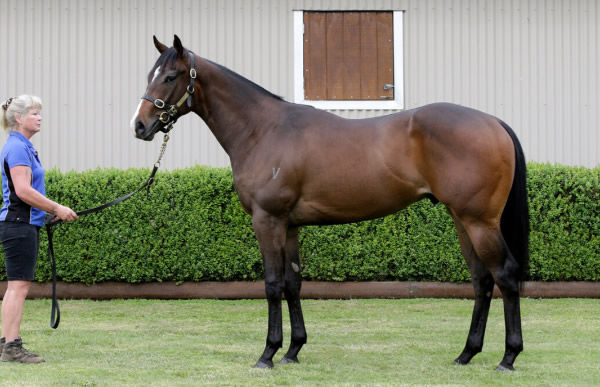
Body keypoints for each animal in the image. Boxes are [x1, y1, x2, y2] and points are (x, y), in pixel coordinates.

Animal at [131, 37, 528, 372]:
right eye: (150, 75)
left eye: (170, 77)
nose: (140, 126)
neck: (263, 129)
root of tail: (493, 122)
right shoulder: (289, 225)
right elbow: (292, 283)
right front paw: (293, 350)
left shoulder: (267, 220)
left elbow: (272, 284)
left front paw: (268, 354)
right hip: (462, 220)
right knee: (482, 281)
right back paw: (466, 354)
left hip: (479, 222)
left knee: (505, 276)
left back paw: (508, 357)